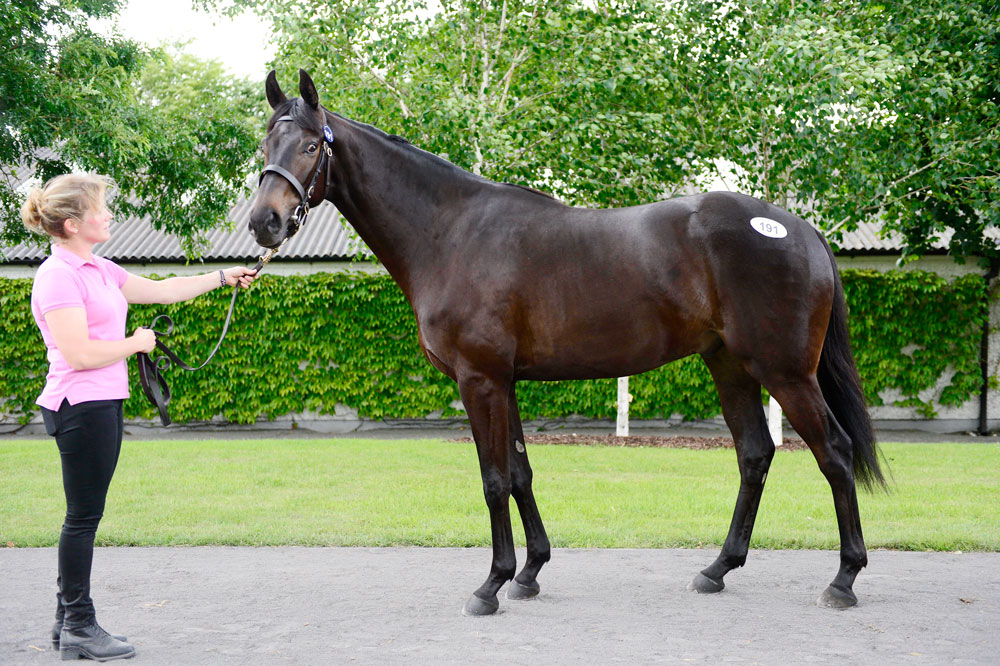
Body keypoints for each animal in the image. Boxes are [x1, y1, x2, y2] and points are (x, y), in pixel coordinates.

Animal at [248, 70, 884, 616]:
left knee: (834, 452)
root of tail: (800, 229)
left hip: (786, 372)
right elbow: (520, 473)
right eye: (265, 146)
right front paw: (529, 572)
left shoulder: (479, 380)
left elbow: (494, 479)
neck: (451, 232)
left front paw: (490, 584)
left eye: (311, 146)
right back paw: (717, 569)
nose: (264, 223)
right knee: (755, 454)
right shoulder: (503, 382)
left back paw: (844, 579)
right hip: (730, 365)